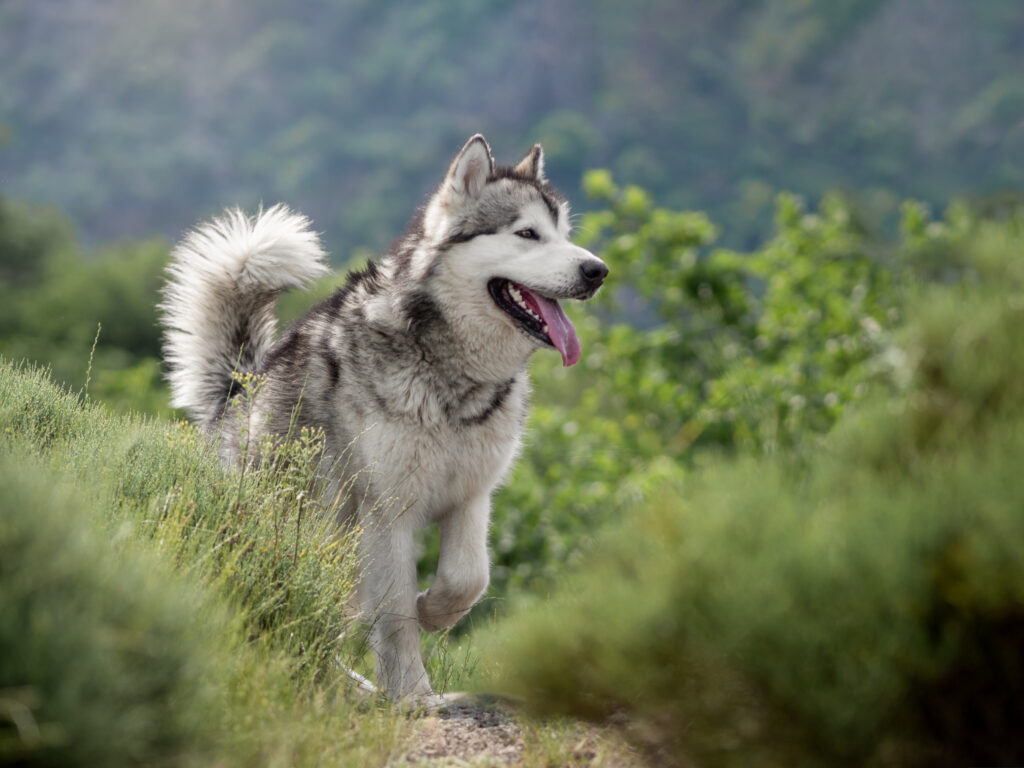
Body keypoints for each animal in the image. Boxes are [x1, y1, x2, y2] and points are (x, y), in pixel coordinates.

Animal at [159, 135, 606, 700]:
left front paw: (433, 613)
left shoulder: (471, 497)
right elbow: (394, 616)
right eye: (527, 233)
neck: (452, 377)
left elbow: (468, 579)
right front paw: (412, 693)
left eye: (565, 234)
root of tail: (243, 386)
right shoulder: (388, 514)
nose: (597, 271)